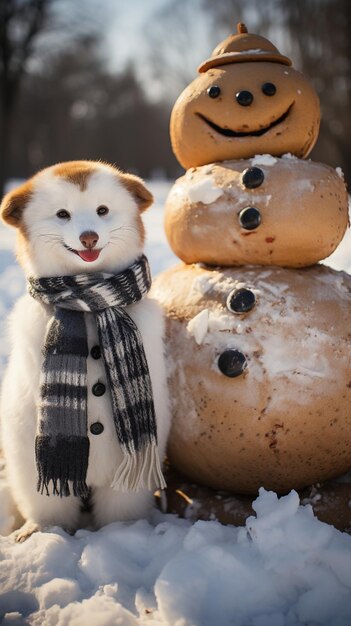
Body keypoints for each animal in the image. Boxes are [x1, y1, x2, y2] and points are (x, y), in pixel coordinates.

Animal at [0, 158, 170, 540]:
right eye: (62, 214)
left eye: (102, 210)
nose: (88, 236)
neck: (90, 305)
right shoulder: (36, 463)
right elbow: (50, 504)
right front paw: (45, 532)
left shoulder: (129, 471)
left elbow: (122, 506)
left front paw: (123, 533)